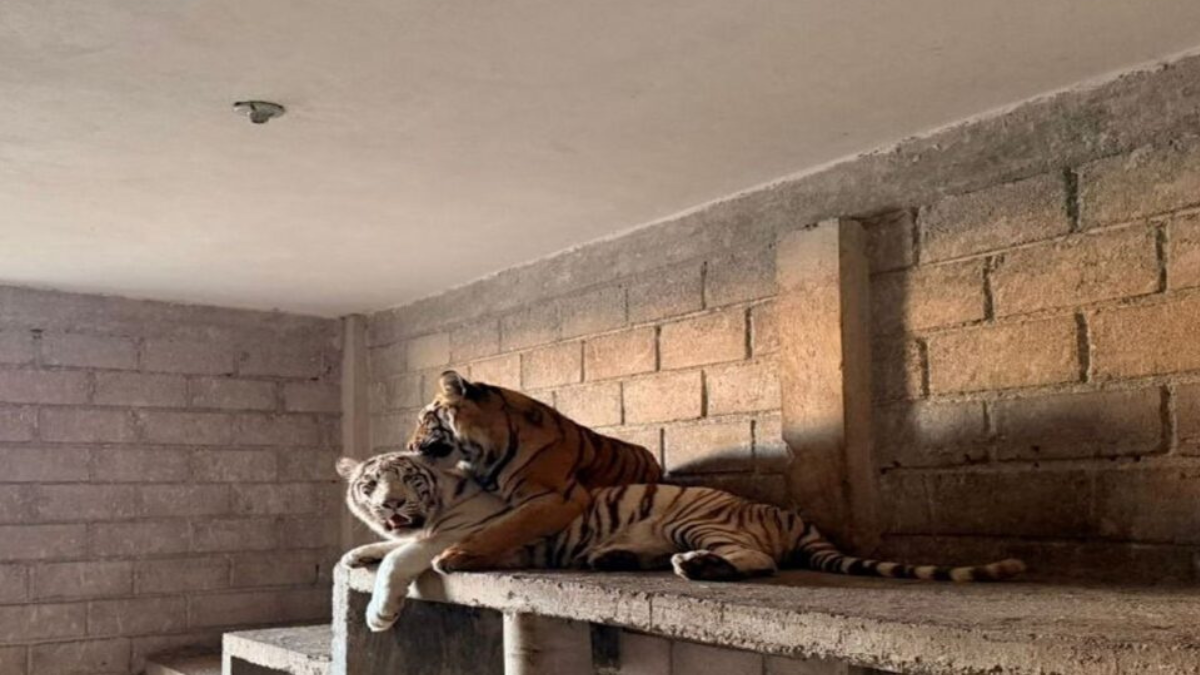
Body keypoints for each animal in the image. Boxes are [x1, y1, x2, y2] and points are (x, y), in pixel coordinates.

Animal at [336, 452, 1026, 632]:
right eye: (370, 483)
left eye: (410, 479)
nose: (389, 504)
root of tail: (787, 513)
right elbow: (381, 550)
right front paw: (354, 554)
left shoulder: (462, 530)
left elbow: (404, 557)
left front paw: (378, 612)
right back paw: (614, 556)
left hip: (693, 519)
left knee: (757, 562)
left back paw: (697, 567)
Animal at [402, 370, 663, 574]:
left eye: (425, 419)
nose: (409, 446)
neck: (481, 457)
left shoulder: (558, 497)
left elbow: (504, 527)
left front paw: (454, 554)